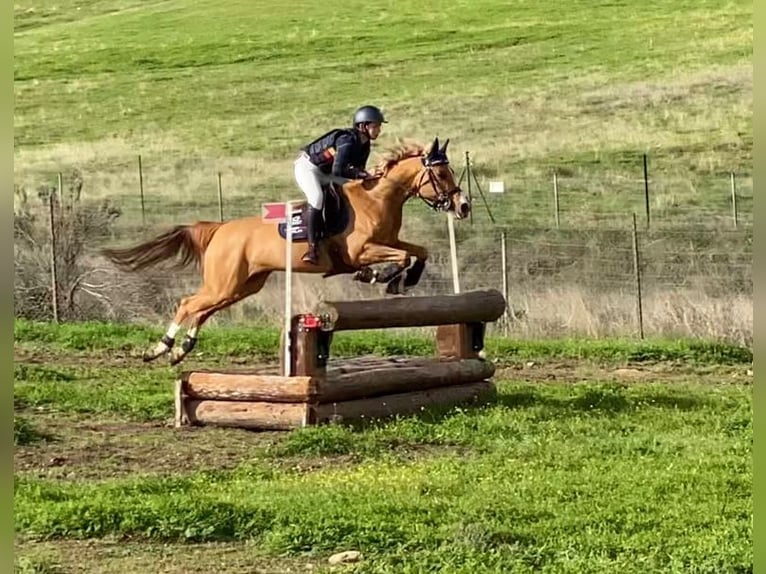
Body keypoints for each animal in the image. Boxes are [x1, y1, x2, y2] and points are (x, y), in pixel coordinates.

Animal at [104, 137, 472, 366]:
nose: (463, 206)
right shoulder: (362, 250)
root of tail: (220, 228)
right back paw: (159, 349)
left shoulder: (389, 242)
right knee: (187, 304)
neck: (378, 198)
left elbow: (418, 251)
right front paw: (382, 278)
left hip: (241, 285)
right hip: (224, 282)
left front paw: (403, 280)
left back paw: (181, 351)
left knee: (204, 310)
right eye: (441, 172)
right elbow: (400, 257)